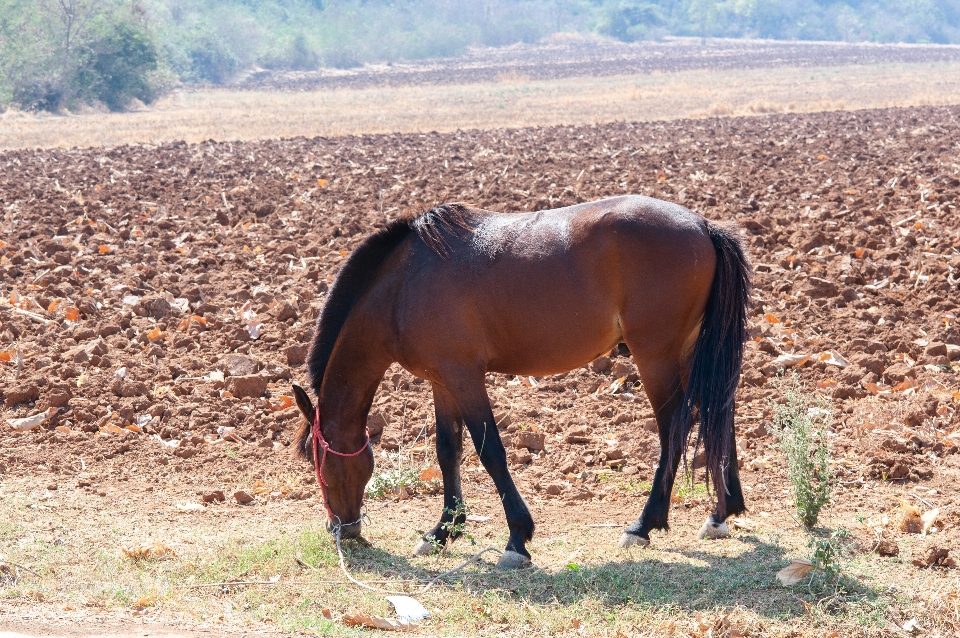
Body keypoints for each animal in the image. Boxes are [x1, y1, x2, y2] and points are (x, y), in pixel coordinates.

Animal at [288, 196, 752, 568]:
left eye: (318, 460)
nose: (342, 530)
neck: (403, 285)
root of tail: (703, 226)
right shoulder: (443, 380)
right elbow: (448, 451)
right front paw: (443, 531)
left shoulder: (465, 377)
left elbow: (490, 451)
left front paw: (516, 538)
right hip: (692, 352)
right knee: (720, 412)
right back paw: (721, 513)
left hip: (655, 356)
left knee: (674, 429)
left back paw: (644, 524)